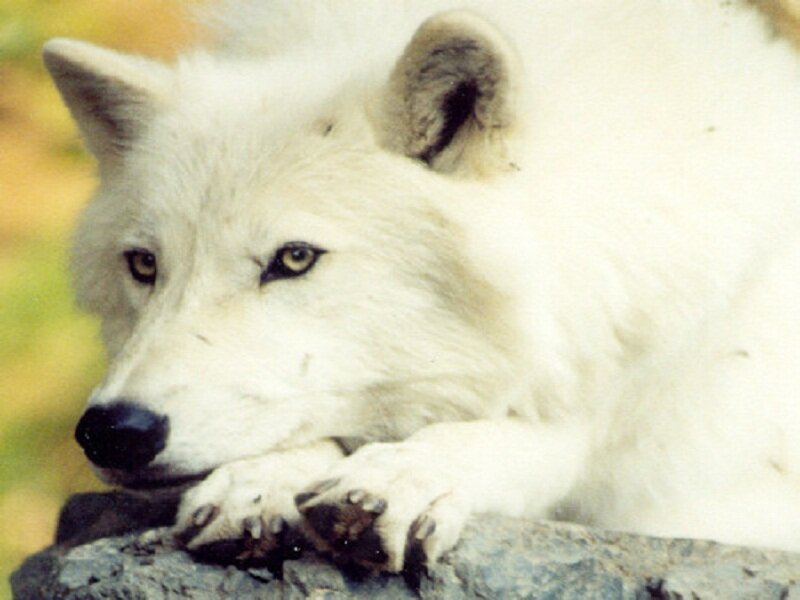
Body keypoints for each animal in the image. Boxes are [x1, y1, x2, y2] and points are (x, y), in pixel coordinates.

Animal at [44, 0, 800, 580]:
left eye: (294, 258)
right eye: (144, 265)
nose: (113, 432)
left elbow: (563, 439)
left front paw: (406, 476)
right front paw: (265, 479)